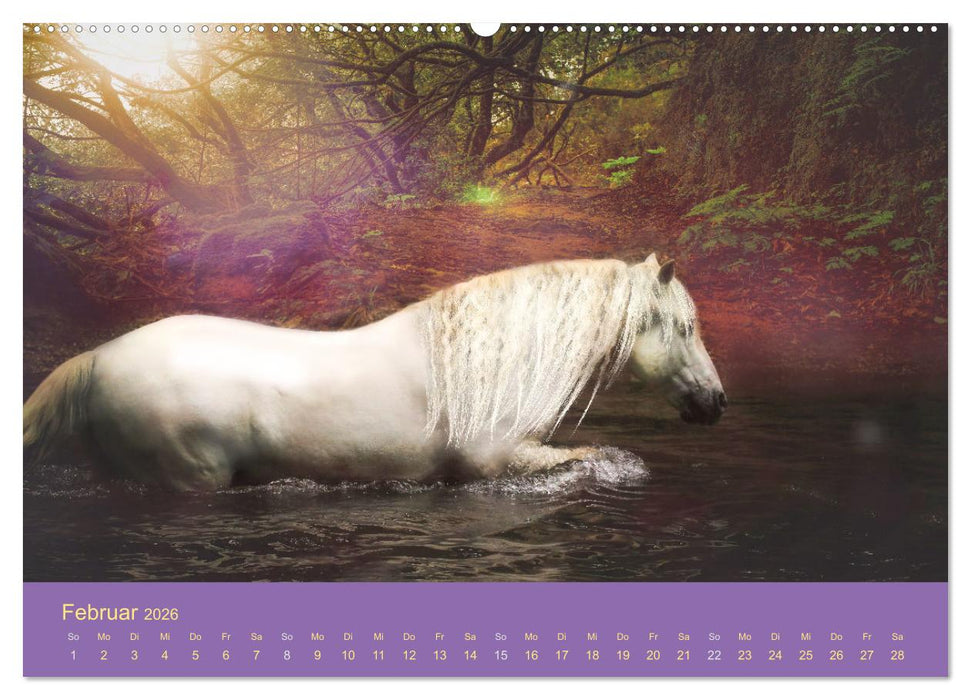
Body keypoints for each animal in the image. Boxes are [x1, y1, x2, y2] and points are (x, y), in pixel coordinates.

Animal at [23, 254, 726, 491]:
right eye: (686, 328)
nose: (715, 403)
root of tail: (99, 357)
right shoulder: (498, 463)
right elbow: (595, 456)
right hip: (191, 478)